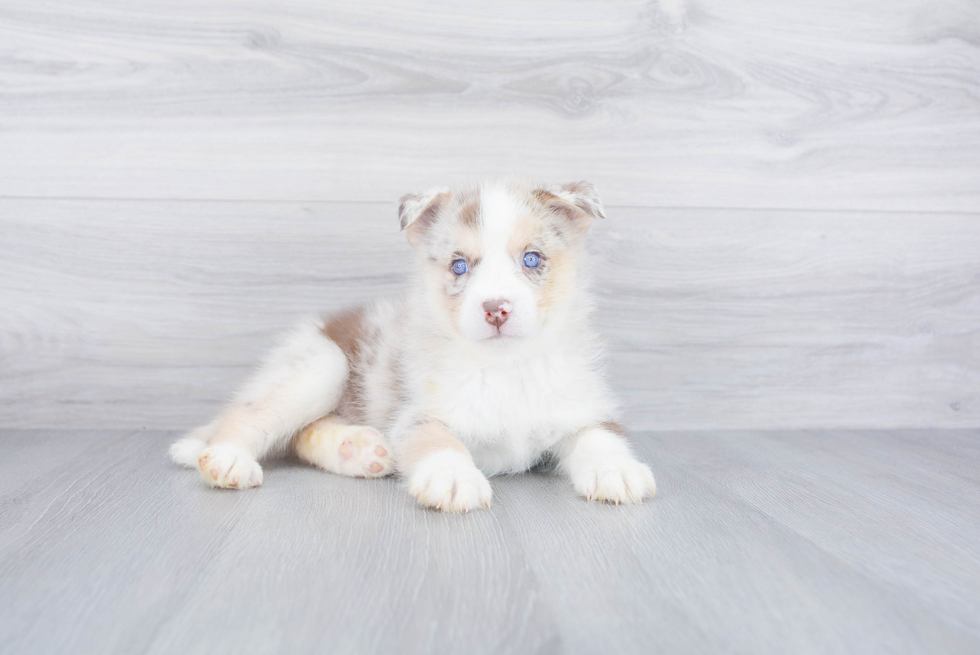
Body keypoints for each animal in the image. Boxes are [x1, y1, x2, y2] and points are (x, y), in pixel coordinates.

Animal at [171, 178, 656, 512]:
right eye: (459, 266)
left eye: (532, 259)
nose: (496, 308)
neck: (504, 367)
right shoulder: (417, 414)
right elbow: (435, 438)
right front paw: (453, 477)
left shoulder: (581, 407)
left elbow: (599, 436)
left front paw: (617, 470)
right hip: (320, 365)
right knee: (251, 417)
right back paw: (228, 459)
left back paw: (356, 450)